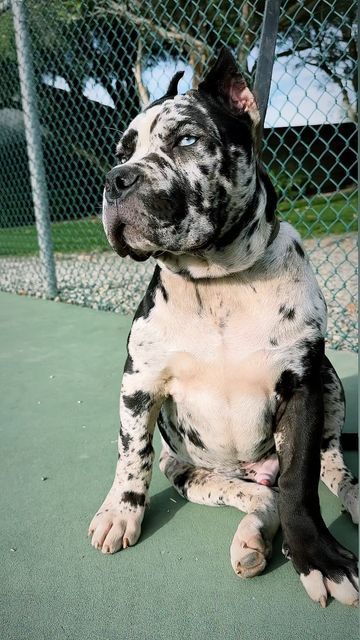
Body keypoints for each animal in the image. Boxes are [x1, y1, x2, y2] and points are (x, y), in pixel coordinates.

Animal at [88, 48, 358, 604]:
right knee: (259, 497)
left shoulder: (302, 387)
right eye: (123, 150)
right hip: (193, 472)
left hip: (329, 381)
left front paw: (318, 557)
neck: (218, 283)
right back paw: (252, 536)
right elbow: (131, 453)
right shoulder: (139, 384)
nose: (116, 179)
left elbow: (300, 483)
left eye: (187, 140)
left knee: (328, 462)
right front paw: (120, 512)